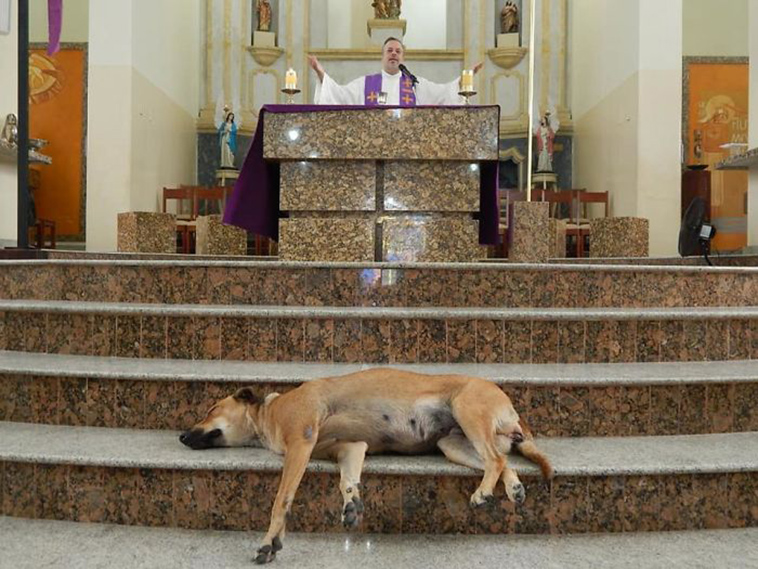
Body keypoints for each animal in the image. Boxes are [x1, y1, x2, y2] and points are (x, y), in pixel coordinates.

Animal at [181, 368, 556, 564]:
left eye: (211, 409)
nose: (182, 436)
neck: (269, 414)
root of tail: (510, 406)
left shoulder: (300, 442)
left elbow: (282, 500)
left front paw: (270, 540)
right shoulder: (349, 448)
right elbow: (347, 479)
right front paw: (351, 502)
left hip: (467, 409)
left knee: (495, 458)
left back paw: (483, 493)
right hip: (453, 445)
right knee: (503, 460)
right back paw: (512, 488)